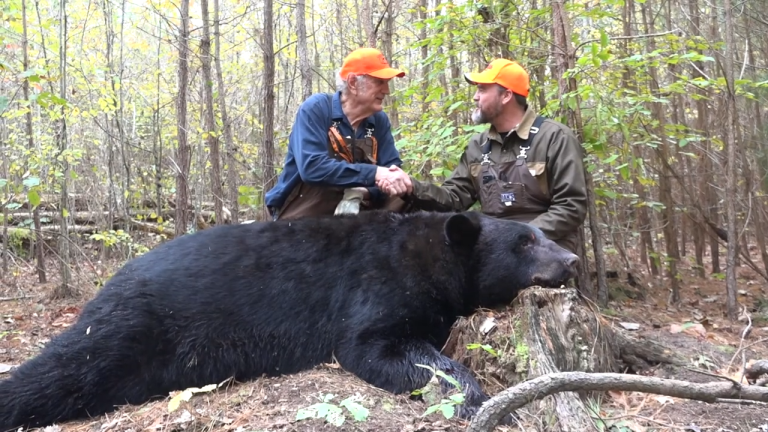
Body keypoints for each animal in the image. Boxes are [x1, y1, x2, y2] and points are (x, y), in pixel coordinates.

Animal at [0, 210, 578, 431]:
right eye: (524, 242)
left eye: (542, 236)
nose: (572, 259)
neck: (436, 255)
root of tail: (113, 278)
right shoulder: (375, 283)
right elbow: (375, 345)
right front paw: (478, 399)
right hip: (136, 320)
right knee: (65, 369)